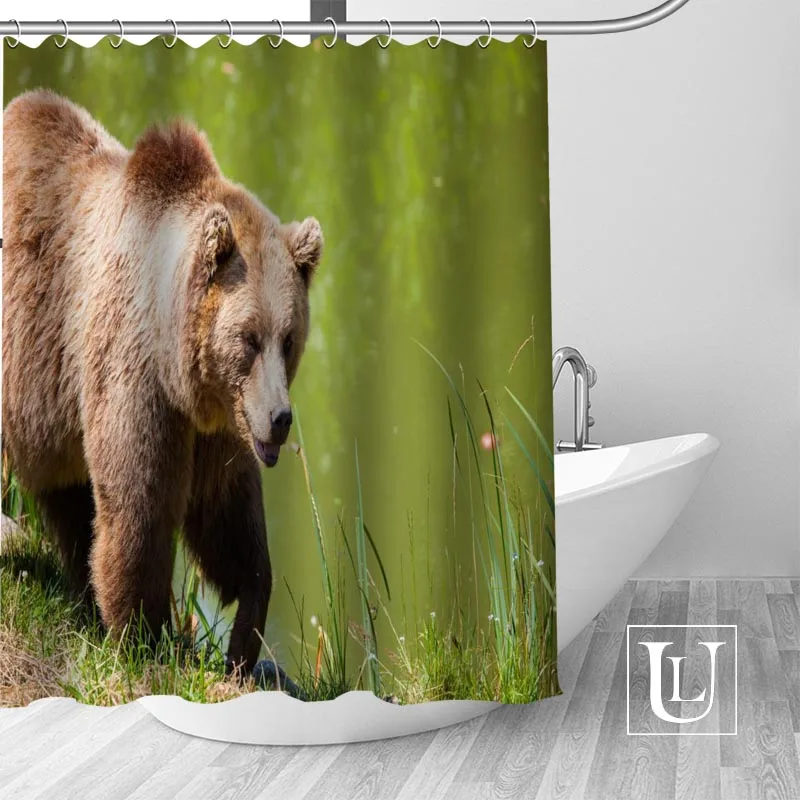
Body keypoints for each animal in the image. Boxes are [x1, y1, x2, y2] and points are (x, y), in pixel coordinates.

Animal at [2, 89, 323, 682]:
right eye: (248, 337)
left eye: (289, 338)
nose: (280, 418)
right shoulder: (136, 377)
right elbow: (140, 505)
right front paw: (142, 635)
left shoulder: (220, 424)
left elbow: (228, 521)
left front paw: (243, 637)